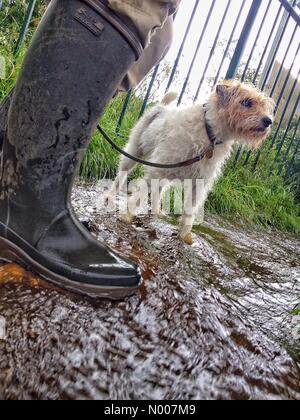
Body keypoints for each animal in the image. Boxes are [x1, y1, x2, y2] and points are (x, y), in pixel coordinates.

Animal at [109, 80, 274, 244]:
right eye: (246, 102)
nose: (269, 121)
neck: (209, 133)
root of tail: (162, 107)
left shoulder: (198, 184)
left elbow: (189, 211)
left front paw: (184, 235)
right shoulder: (157, 170)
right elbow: (139, 195)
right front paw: (126, 216)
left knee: (158, 190)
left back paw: (157, 212)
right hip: (134, 152)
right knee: (122, 175)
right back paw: (110, 195)